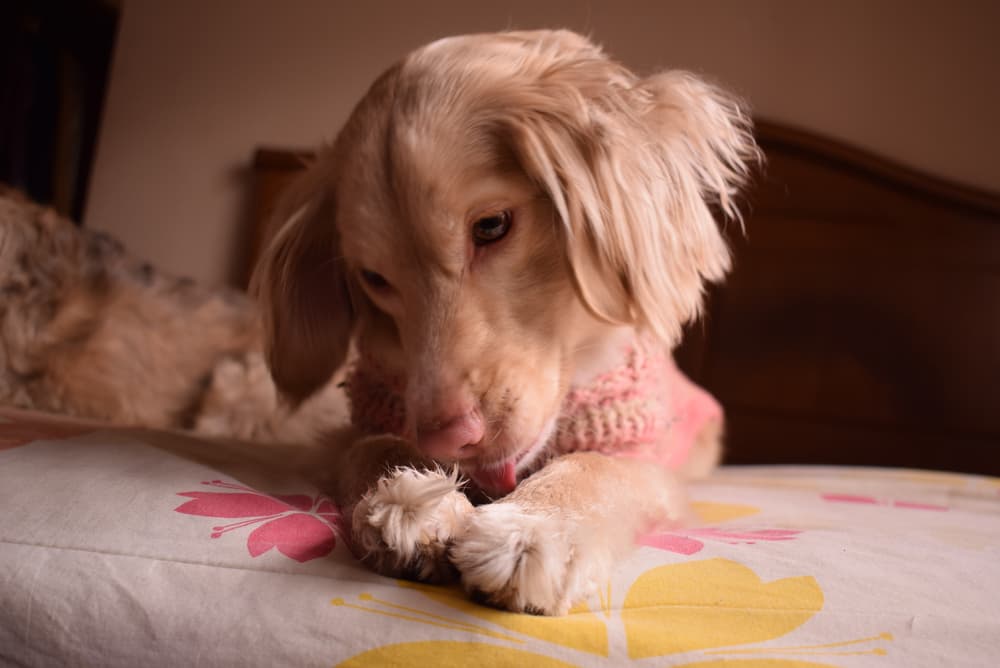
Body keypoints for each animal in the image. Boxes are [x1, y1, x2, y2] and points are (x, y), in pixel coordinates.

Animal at [252, 31, 756, 616]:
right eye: (373, 278)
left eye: (492, 225)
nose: (448, 439)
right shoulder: (355, 427)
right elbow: (371, 447)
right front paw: (410, 499)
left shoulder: (649, 460)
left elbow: (596, 467)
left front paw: (536, 527)